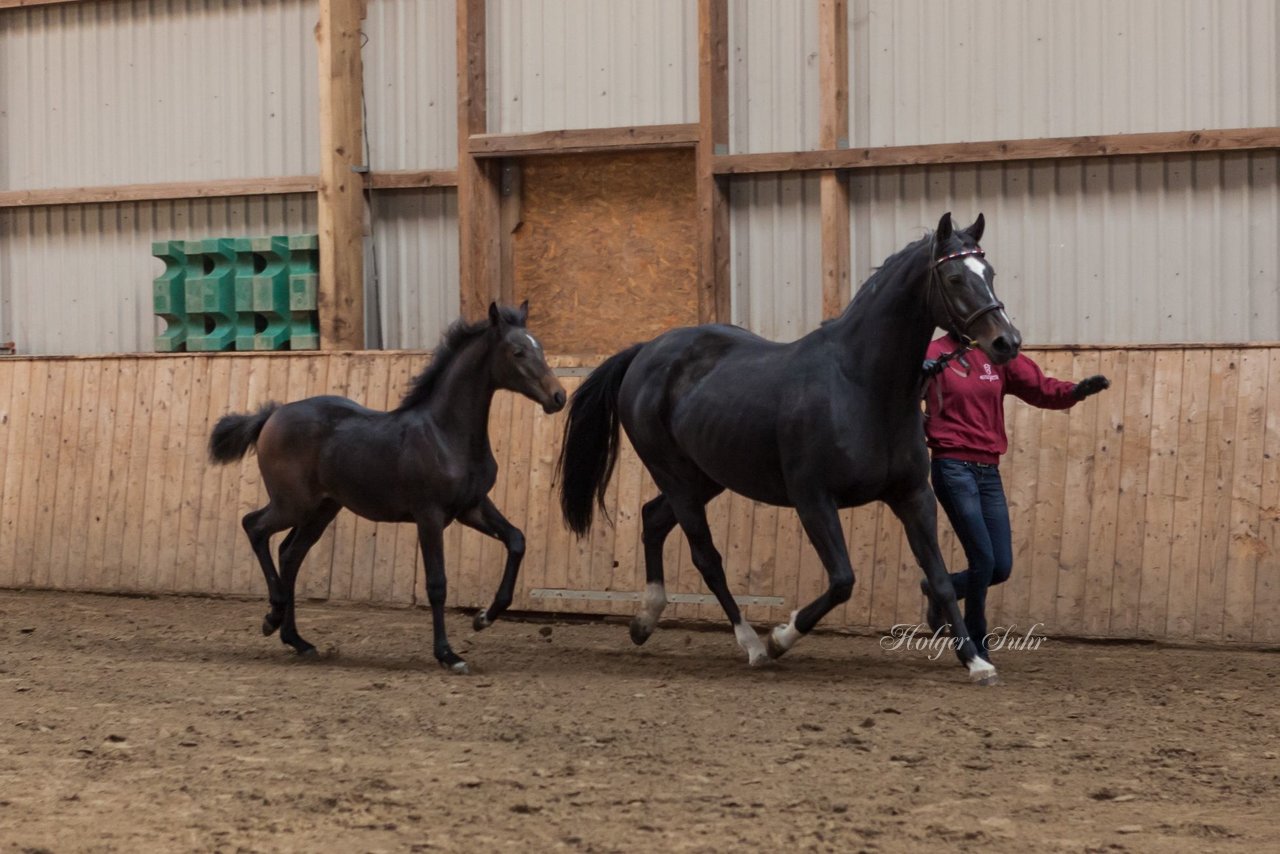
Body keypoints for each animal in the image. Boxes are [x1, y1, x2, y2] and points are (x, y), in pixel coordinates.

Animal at [207, 302, 563, 676]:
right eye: (518, 351)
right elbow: (437, 583)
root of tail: (272, 415)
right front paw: (448, 654)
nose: (558, 396)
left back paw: (298, 640)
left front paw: (483, 618)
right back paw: (272, 617)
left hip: (322, 509)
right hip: (292, 503)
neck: (445, 434)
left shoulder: (472, 507)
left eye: (540, 347)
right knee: (254, 527)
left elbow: (517, 540)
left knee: (290, 554)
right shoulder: (430, 515)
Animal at [558, 215, 1018, 686]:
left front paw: (976, 662)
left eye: (990, 273)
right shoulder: (812, 498)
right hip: (676, 477)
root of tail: (644, 353)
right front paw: (781, 636)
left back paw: (645, 620)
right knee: (707, 558)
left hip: (705, 477)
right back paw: (753, 645)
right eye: (955, 277)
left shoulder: (913, 495)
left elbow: (939, 578)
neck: (861, 385)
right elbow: (843, 580)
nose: (1007, 342)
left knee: (652, 519)